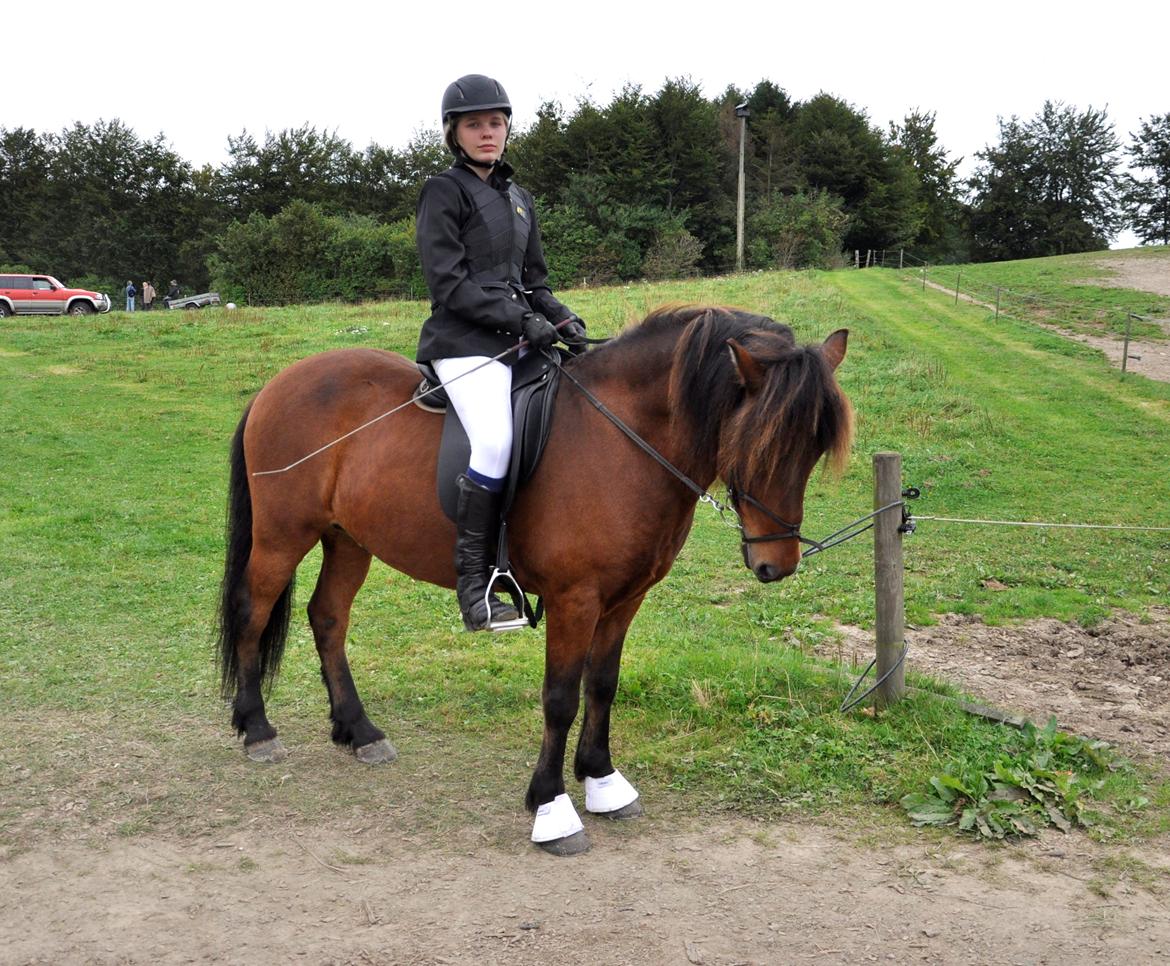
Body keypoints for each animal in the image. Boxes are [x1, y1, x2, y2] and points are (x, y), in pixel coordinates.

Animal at [216, 305, 852, 855]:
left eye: (814, 448)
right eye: (760, 444)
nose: (776, 564)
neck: (622, 439)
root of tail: (278, 384)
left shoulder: (624, 599)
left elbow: (603, 684)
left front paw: (602, 779)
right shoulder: (576, 599)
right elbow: (560, 698)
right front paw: (551, 807)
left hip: (349, 539)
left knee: (328, 617)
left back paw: (360, 731)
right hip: (282, 536)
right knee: (252, 611)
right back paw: (257, 729)